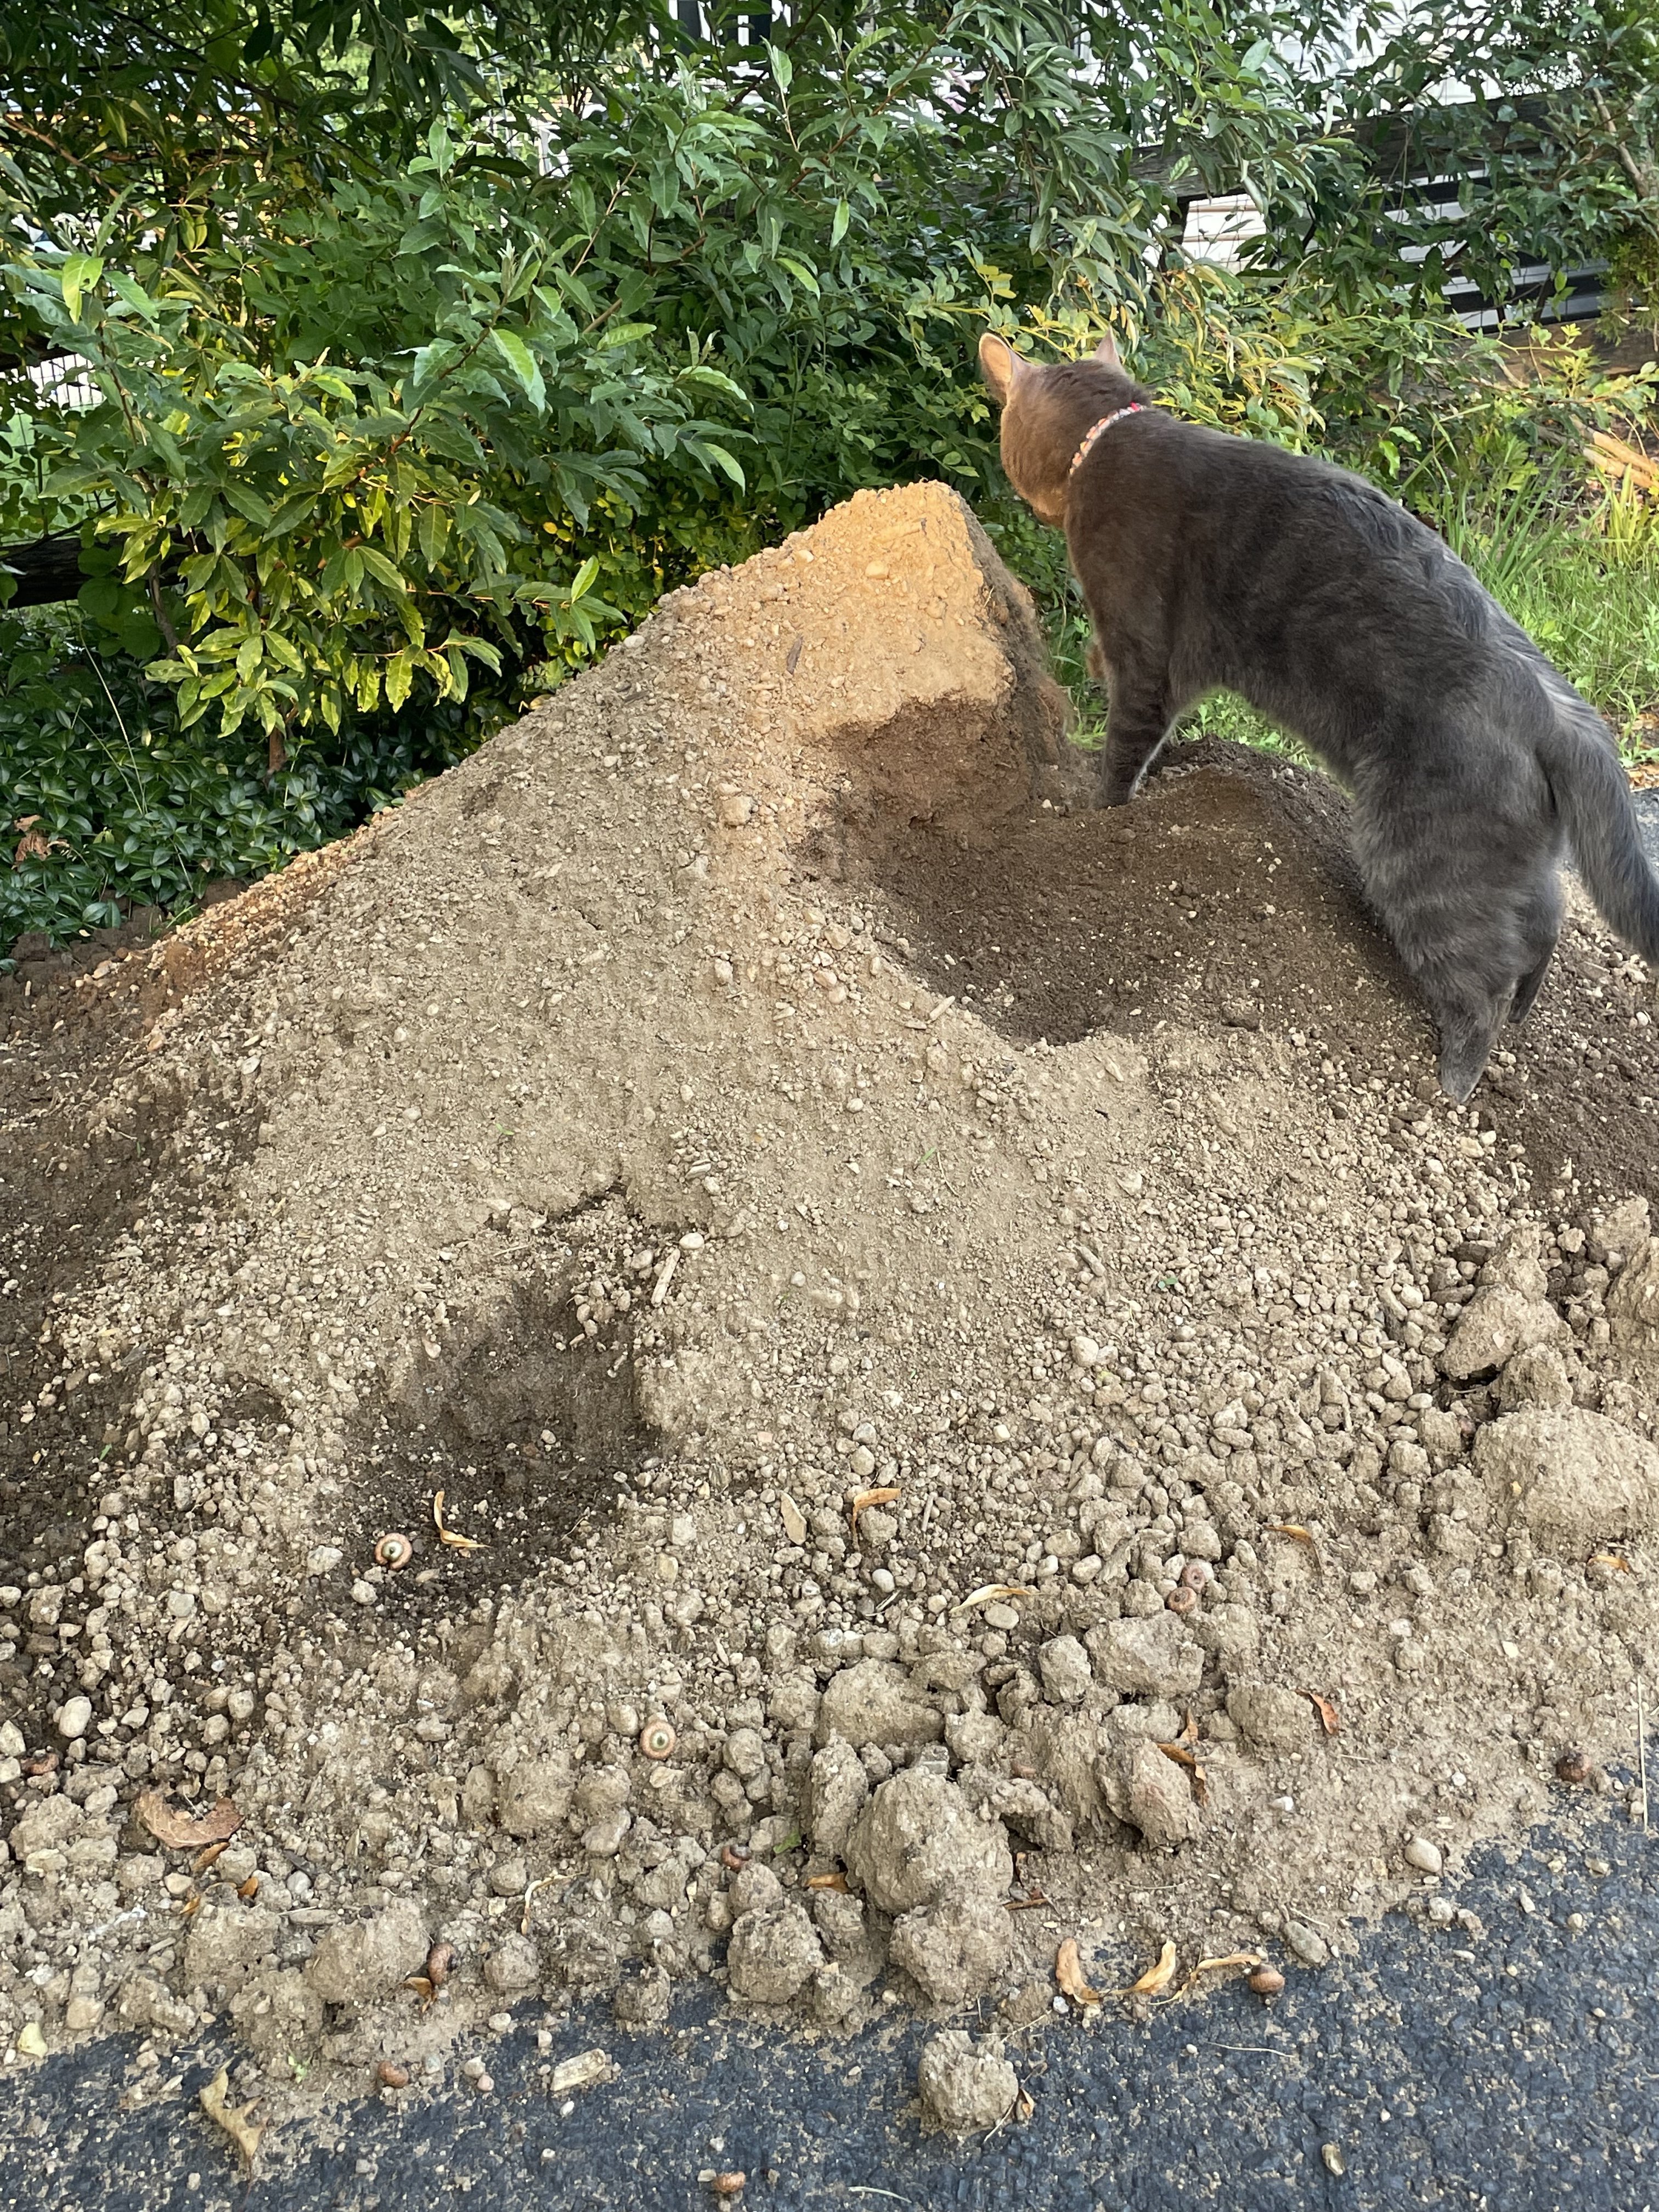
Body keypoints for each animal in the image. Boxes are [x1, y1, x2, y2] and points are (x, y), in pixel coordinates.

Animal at [978, 330, 1659, 1101]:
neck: (1106, 438)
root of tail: (1554, 705)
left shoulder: (1145, 655)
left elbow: (1124, 749)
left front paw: (1101, 813)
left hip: (1422, 855)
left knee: (1480, 979)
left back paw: (1457, 1077)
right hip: (1517, 856)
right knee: (1546, 924)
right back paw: (1523, 1010)